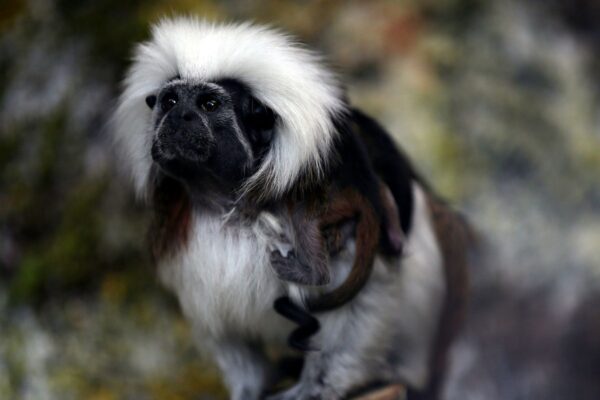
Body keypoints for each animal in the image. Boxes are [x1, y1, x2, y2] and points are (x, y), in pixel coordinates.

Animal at [111, 18, 468, 400]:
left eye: (209, 104)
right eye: (171, 100)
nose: (180, 115)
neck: (230, 206)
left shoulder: (337, 210)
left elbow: (363, 298)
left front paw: (314, 388)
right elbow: (223, 327)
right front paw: (249, 390)